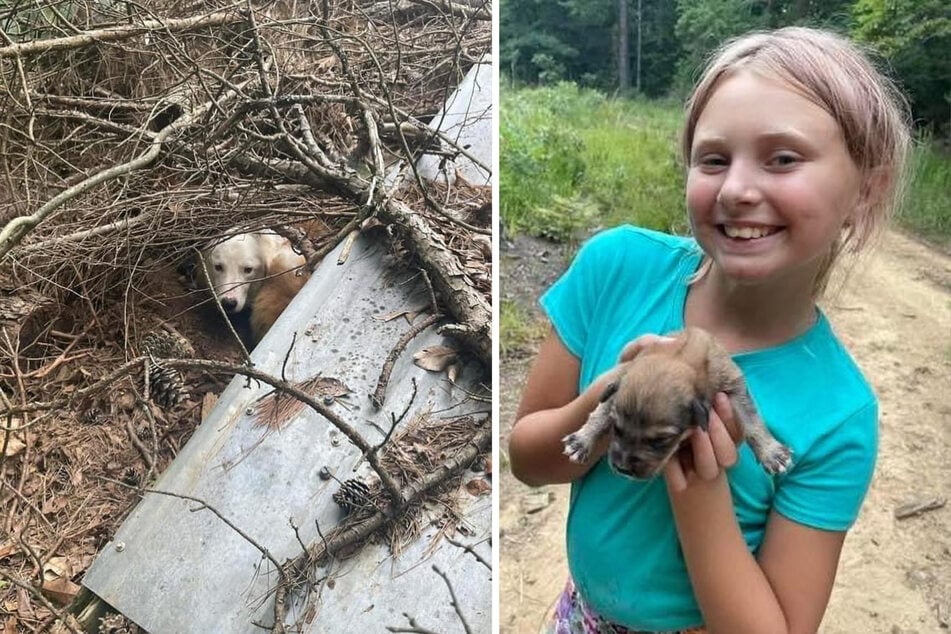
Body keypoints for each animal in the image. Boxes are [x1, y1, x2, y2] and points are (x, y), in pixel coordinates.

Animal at [560, 328, 792, 476]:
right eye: (616, 429)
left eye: (660, 440)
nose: (623, 469)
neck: (679, 356)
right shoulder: (619, 380)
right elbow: (600, 412)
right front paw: (582, 440)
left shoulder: (733, 384)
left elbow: (751, 419)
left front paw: (771, 453)